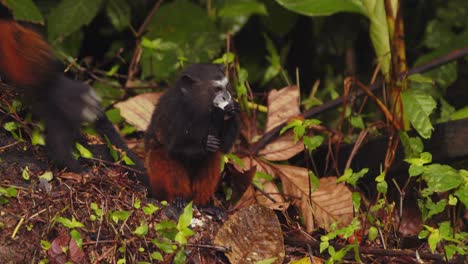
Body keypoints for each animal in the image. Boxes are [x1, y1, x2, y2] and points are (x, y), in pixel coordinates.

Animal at [0, 10, 148, 184]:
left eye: (95, 103)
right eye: (87, 104)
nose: (96, 111)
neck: (55, 83)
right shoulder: (57, 113)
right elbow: (59, 153)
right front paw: (84, 172)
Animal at [145, 63, 241, 204]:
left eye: (226, 87)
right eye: (217, 89)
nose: (227, 96)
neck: (196, 108)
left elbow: (223, 147)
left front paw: (232, 111)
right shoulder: (175, 113)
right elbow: (173, 147)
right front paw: (205, 144)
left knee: (212, 156)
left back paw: (202, 203)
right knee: (160, 154)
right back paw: (179, 199)